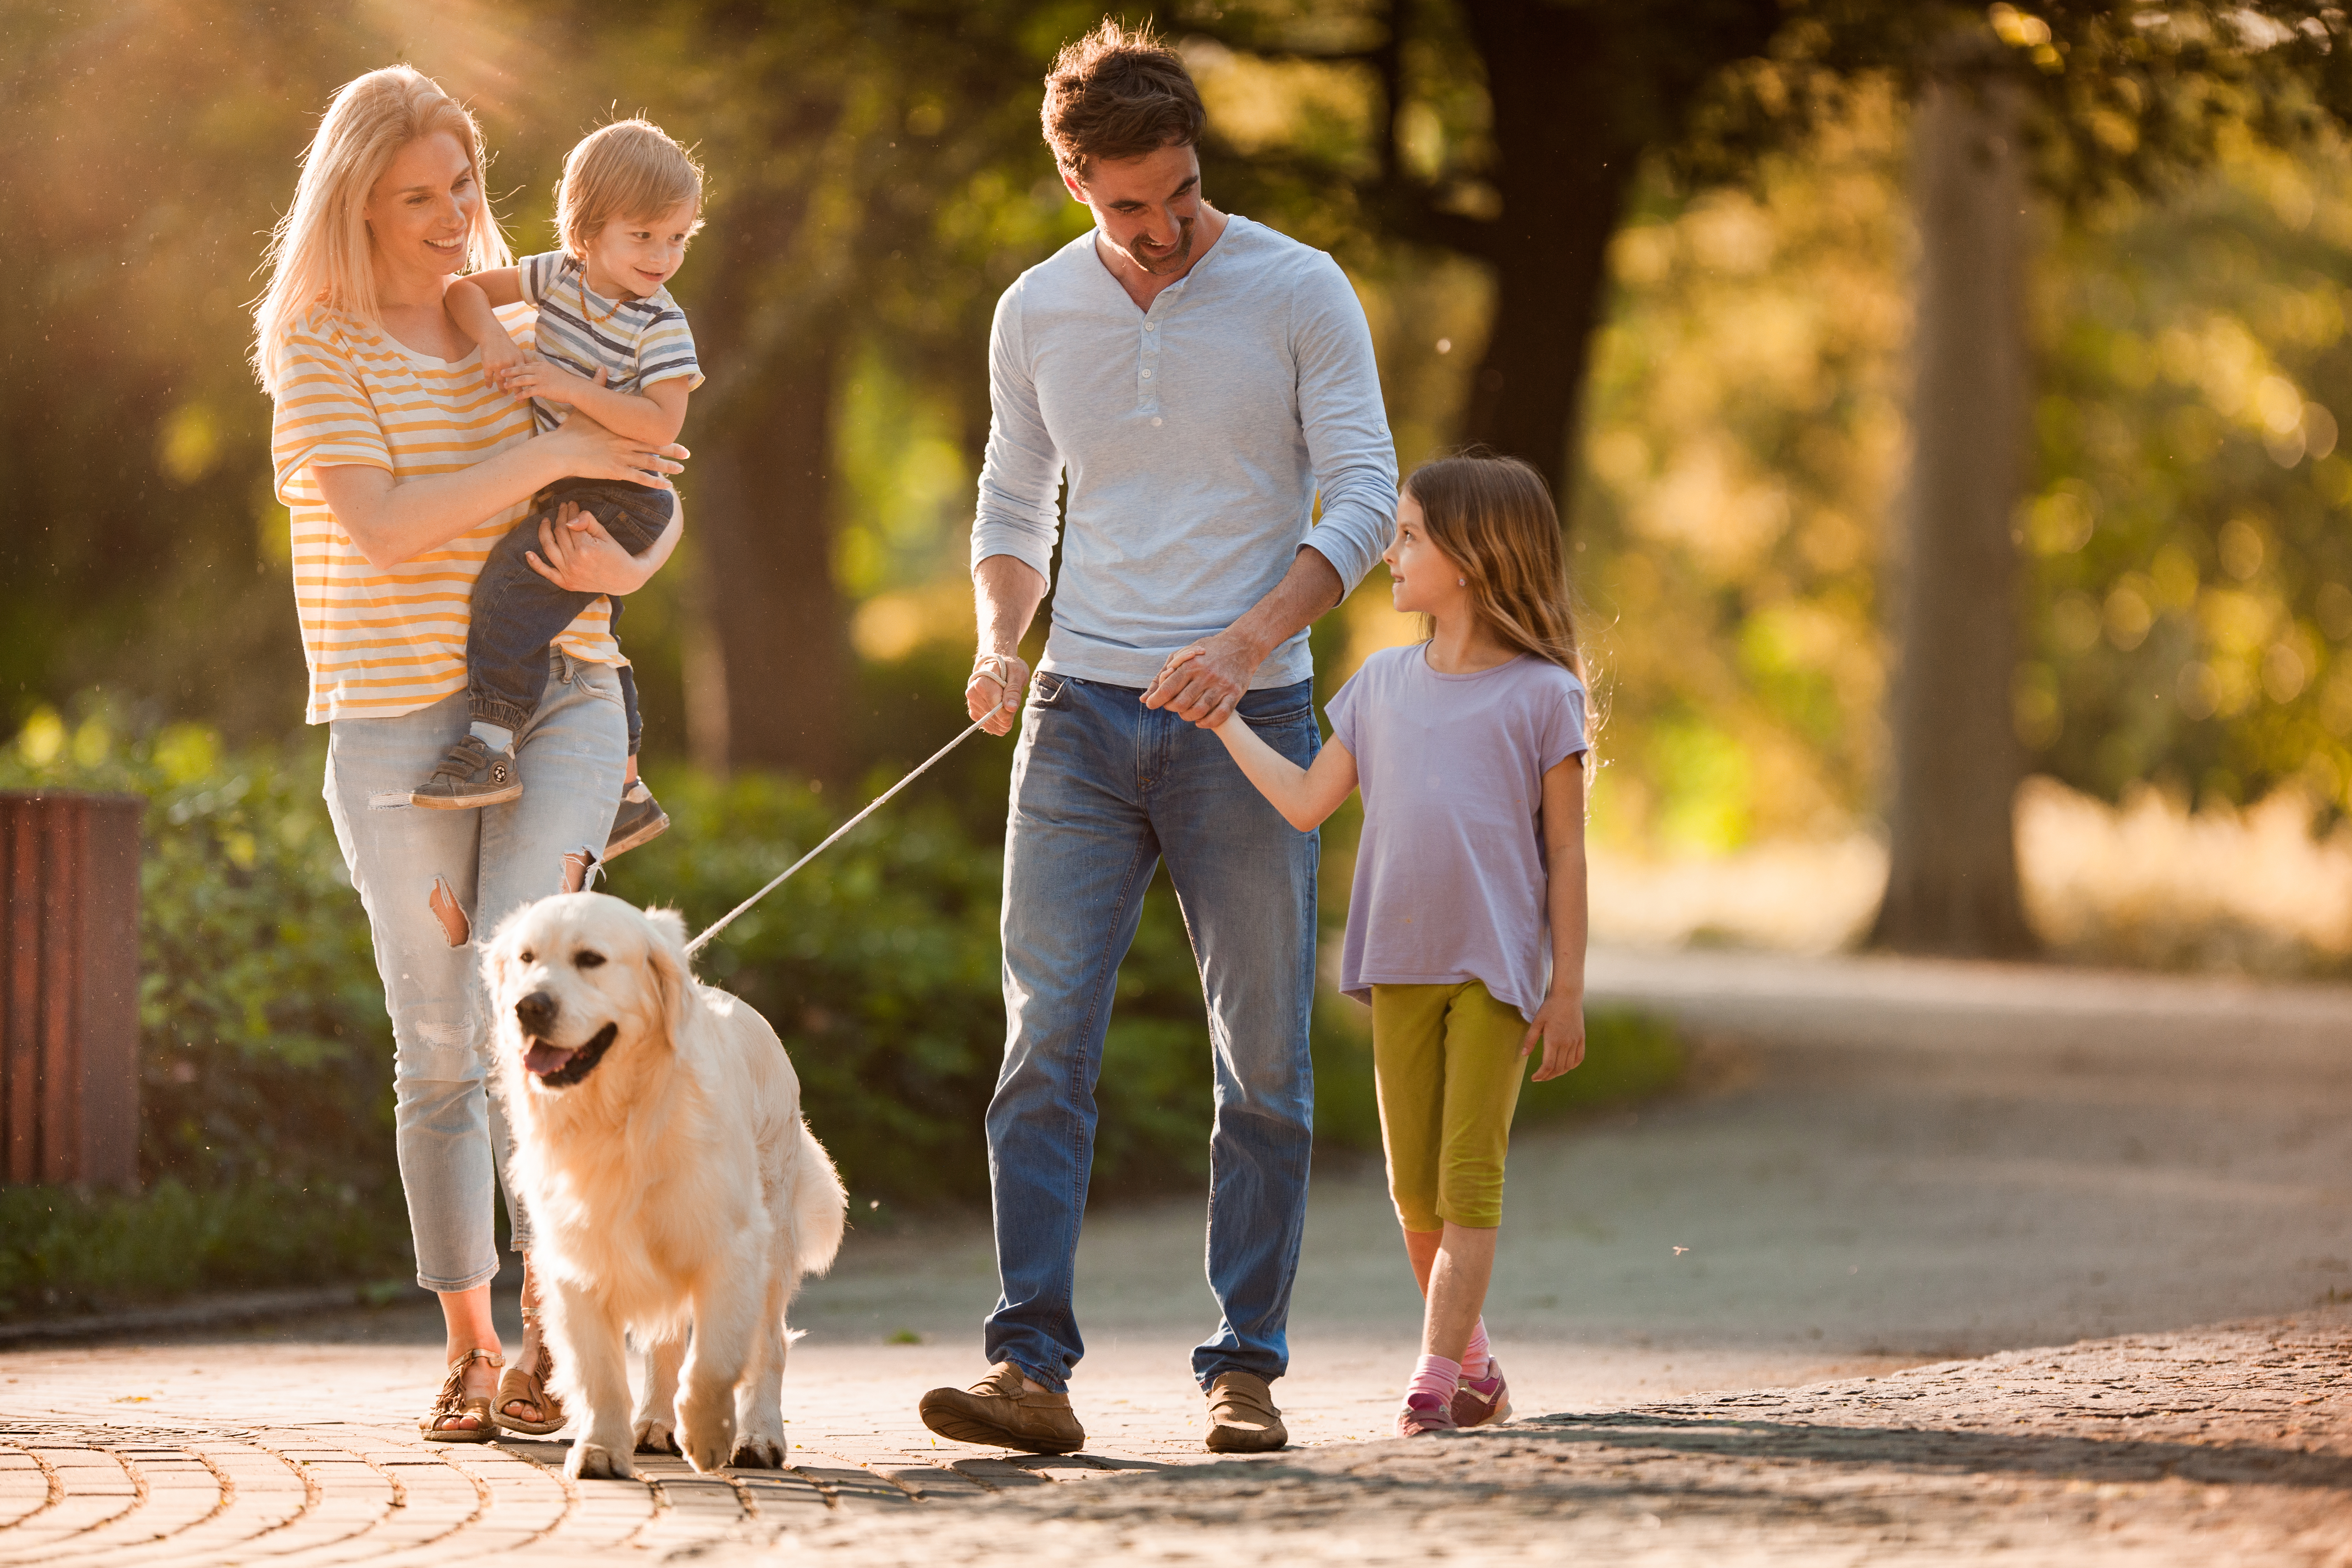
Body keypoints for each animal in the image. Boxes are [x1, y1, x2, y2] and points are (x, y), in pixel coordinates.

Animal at [480, 889, 847, 1476]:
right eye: (526, 958)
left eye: (591, 959)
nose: (528, 1007)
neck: (617, 1116)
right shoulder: (580, 1254)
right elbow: (601, 1371)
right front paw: (601, 1449)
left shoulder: (731, 1244)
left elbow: (715, 1359)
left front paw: (709, 1435)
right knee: (665, 1342)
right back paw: (653, 1423)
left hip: (772, 1234)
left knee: (769, 1343)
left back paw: (759, 1436)